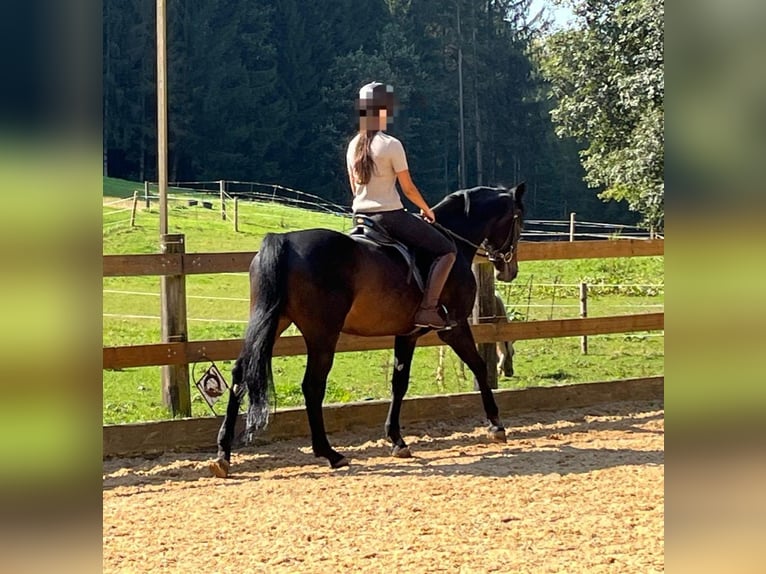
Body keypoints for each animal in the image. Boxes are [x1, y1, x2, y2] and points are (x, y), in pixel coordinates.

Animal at [210, 183, 528, 476]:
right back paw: (330, 453)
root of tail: (285, 241)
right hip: (322, 335)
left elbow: (399, 383)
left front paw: (397, 440)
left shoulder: (407, 334)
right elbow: (478, 366)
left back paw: (223, 455)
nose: (509, 270)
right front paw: (496, 425)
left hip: (273, 321)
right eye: (518, 219)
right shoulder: (455, 327)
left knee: (240, 373)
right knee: (312, 386)